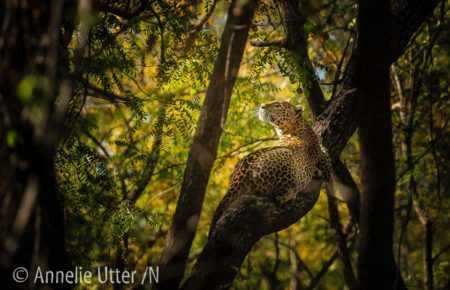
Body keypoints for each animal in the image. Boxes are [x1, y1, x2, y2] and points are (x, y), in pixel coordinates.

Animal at [209, 101, 332, 232]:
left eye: (278, 106)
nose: (262, 105)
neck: (297, 126)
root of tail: (240, 176)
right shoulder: (325, 164)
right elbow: (327, 159)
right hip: (285, 155)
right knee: (282, 194)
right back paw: (289, 194)